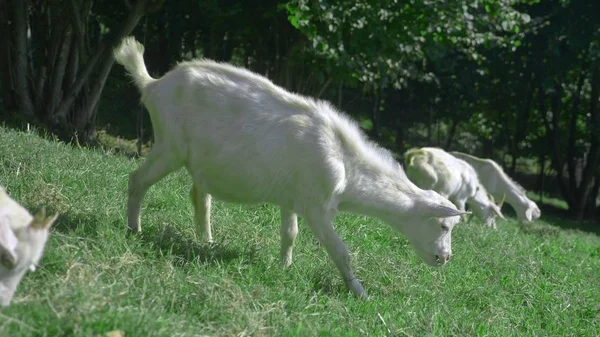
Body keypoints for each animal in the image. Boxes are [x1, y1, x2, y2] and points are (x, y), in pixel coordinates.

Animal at [112, 36, 468, 298]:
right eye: (443, 226)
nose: (446, 258)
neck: (345, 161)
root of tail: (154, 85)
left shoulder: (292, 199)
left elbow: (290, 234)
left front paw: (284, 267)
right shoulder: (316, 207)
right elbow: (340, 250)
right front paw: (360, 293)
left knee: (200, 195)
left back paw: (206, 242)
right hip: (169, 145)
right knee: (138, 180)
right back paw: (134, 229)